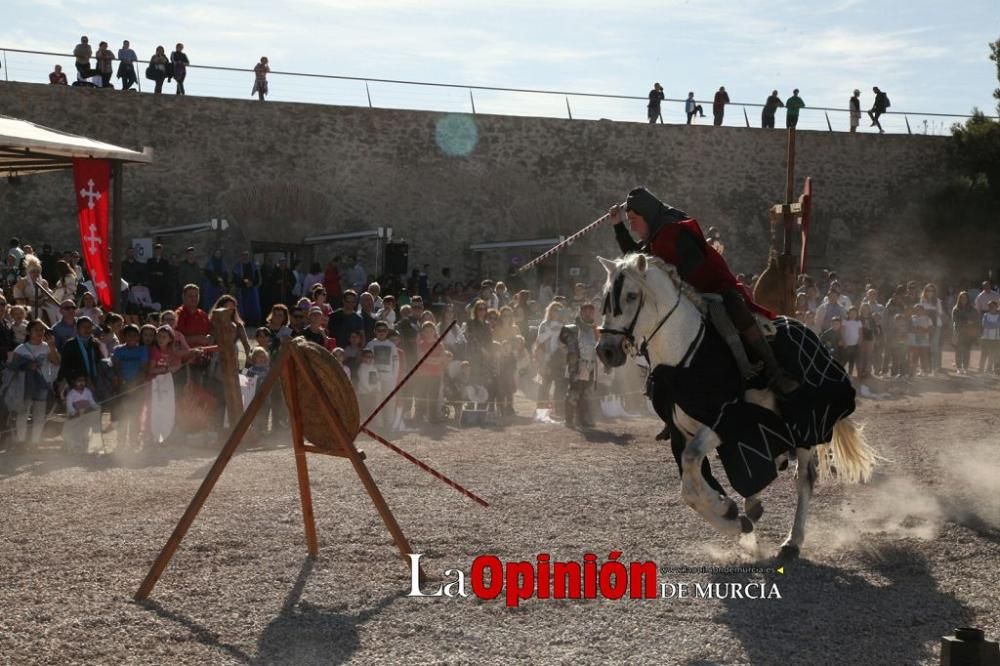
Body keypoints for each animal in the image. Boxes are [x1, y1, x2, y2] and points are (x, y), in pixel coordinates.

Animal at [592, 252, 876, 556]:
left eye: (631, 296)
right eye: (606, 296)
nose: (606, 350)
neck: (684, 355)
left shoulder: (724, 421)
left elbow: (691, 467)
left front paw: (727, 512)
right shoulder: (683, 432)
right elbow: (690, 486)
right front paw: (732, 515)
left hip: (807, 424)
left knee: (804, 478)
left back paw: (792, 540)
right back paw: (753, 507)